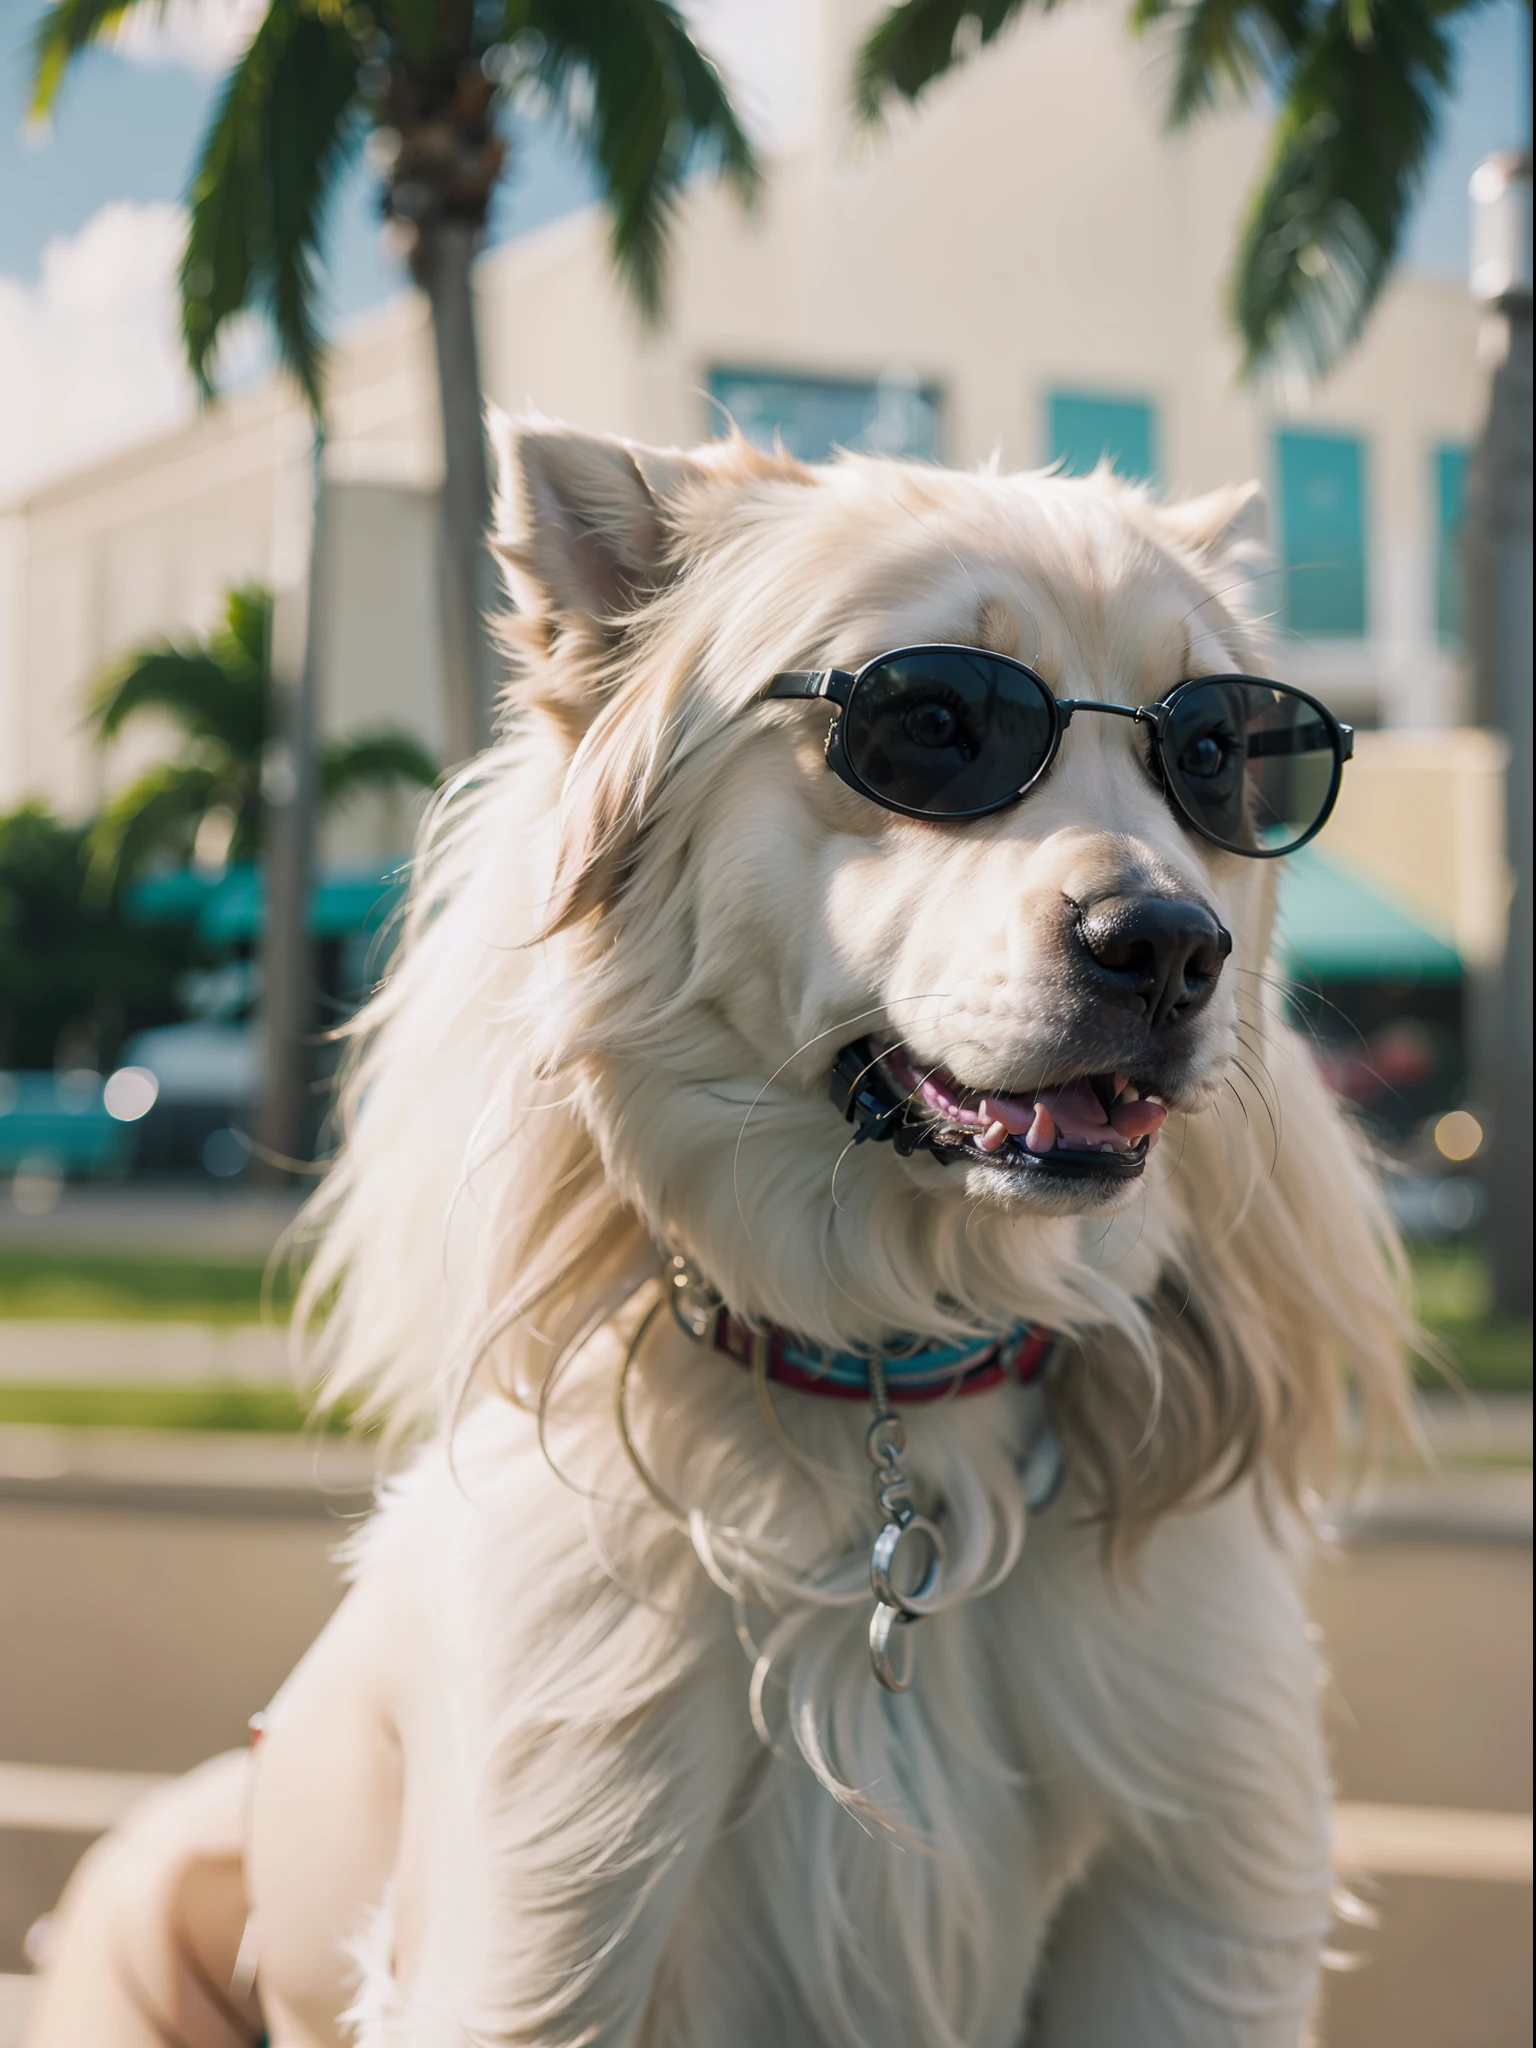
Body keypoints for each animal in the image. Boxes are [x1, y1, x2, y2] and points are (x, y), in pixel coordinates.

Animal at [30, 419, 1417, 2048]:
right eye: (931, 722)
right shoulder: (548, 1919)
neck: (894, 1386)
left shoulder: (1194, 1906)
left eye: (1215, 754)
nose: (1172, 948)